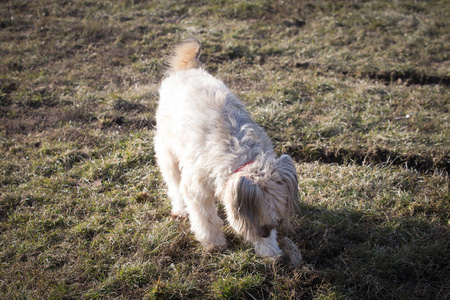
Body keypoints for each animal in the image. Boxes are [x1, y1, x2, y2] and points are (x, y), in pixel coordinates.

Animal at [155, 38, 298, 256]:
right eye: (258, 215)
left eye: (277, 218)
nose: (265, 233)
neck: (242, 156)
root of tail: (190, 69)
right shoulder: (197, 188)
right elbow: (205, 218)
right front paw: (214, 242)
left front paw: (270, 250)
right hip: (167, 151)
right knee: (174, 185)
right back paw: (180, 209)